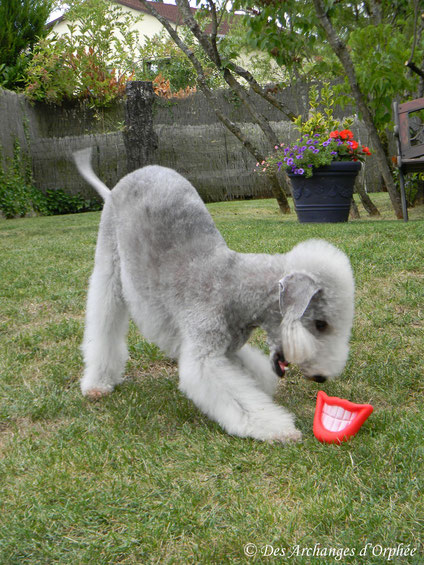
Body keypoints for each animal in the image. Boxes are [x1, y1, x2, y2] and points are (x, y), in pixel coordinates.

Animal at [73, 149, 354, 440]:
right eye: (321, 324)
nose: (322, 378)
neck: (235, 285)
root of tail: (114, 189)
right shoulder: (205, 356)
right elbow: (234, 396)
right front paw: (279, 428)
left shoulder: (228, 349)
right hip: (109, 266)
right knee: (104, 323)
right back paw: (98, 383)